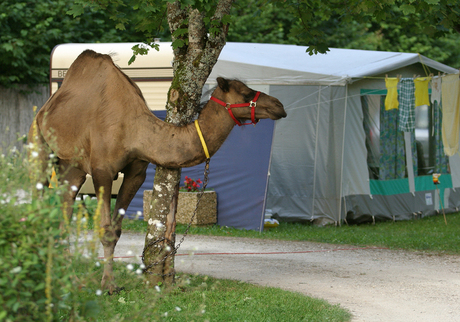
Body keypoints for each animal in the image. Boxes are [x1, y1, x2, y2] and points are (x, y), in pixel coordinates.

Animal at [27, 49, 284, 294]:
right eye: (246, 94)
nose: (279, 106)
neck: (135, 129)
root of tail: (46, 106)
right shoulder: (102, 171)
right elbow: (107, 231)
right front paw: (108, 285)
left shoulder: (137, 171)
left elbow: (123, 230)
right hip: (38, 140)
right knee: (38, 195)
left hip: (71, 165)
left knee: (65, 207)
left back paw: (69, 277)